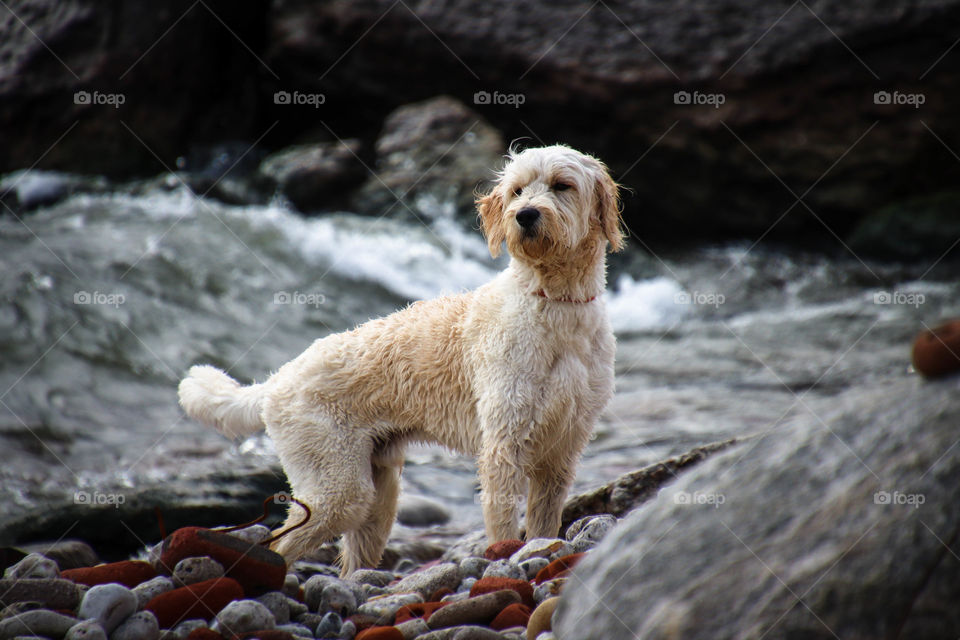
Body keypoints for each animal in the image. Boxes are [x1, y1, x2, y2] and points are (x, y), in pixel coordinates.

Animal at [178, 145, 624, 576]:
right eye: (517, 190)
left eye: (562, 185)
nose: (525, 215)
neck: (555, 302)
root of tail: (278, 379)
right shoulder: (505, 442)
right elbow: (502, 519)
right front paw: (505, 555)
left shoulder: (563, 450)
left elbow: (545, 523)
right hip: (337, 488)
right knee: (281, 543)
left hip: (379, 494)